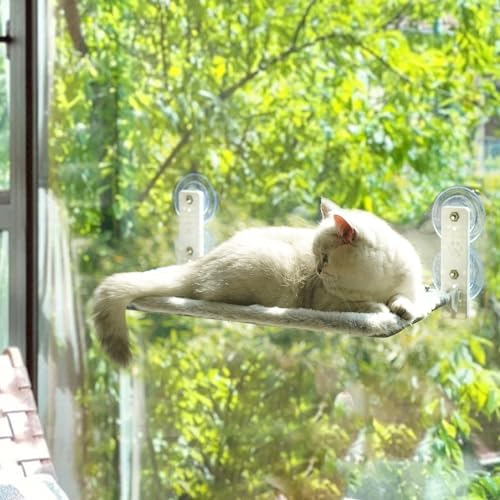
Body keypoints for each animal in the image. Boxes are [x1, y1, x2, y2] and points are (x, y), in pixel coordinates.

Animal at [93, 197, 422, 366]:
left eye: (325, 258)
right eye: (316, 256)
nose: (317, 270)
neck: (376, 281)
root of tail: (201, 262)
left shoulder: (410, 286)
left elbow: (406, 299)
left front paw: (403, 309)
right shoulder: (328, 301)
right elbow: (365, 305)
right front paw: (380, 310)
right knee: (206, 293)